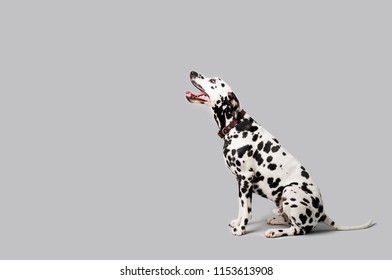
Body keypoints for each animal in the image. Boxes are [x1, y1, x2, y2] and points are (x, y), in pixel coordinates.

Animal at [185, 71, 374, 237]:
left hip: (289, 191)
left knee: (298, 229)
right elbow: (241, 208)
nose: (193, 72)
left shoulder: (245, 179)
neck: (235, 125)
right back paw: (276, 220)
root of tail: (322, 213)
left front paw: (241, 229)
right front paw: (237, 223)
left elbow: (246, 210)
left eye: (213, 81)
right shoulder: (240, 182)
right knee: (290, 221)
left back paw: (275, 232)